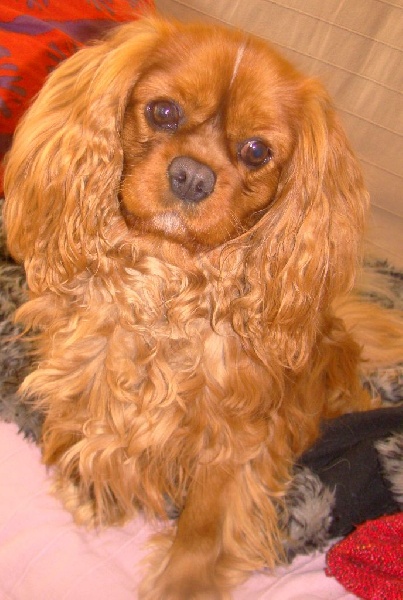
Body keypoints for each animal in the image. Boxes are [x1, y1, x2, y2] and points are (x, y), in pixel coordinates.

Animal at [4, 16, 403, 599]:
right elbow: (99, 431)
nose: (192, 176)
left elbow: (205, 526)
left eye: (257, 150)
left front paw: (182, 582)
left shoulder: (236, 434)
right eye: (163, 111)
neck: (168, 282)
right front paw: (96, 489)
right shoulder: (91, 368)